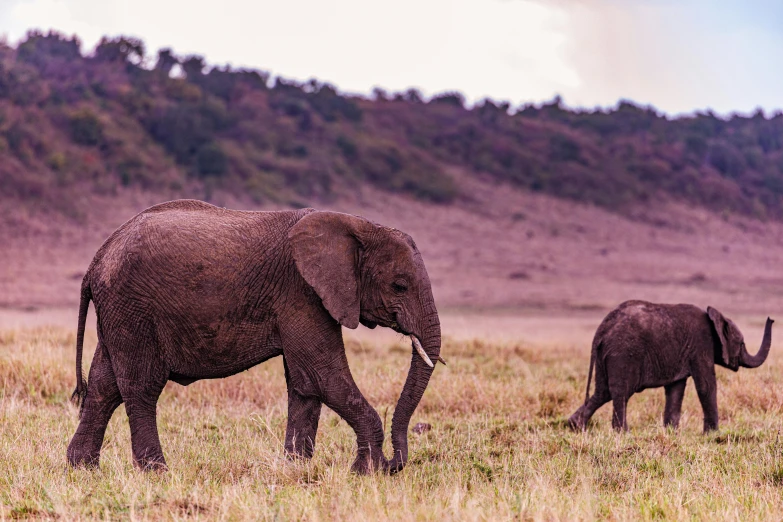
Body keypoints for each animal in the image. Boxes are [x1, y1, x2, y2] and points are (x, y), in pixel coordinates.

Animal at [66, 198, 440, 472]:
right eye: (399, 285)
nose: (395, 464)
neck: (358, 225)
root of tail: (98, 258)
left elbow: (305, 383)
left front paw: (295, 468)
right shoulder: (302, 293)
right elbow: (325, 376)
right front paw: (367, 472)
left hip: (119, 311)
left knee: (103, 387)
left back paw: (83, 469)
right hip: (133, 307)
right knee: (140, 387)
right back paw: (156, 472)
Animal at [568, 298, 776, 432]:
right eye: (741, 344)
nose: (772, 318)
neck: (715, 316)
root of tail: (602, 329)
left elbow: (676, 389)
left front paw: (671, 432)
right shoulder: (701, 345)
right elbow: (706, 386)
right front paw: (713, 434)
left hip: (605, 354)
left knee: (602, 392)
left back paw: (575, 426)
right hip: (623, 353)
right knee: (621, 392)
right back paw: (622, 432)